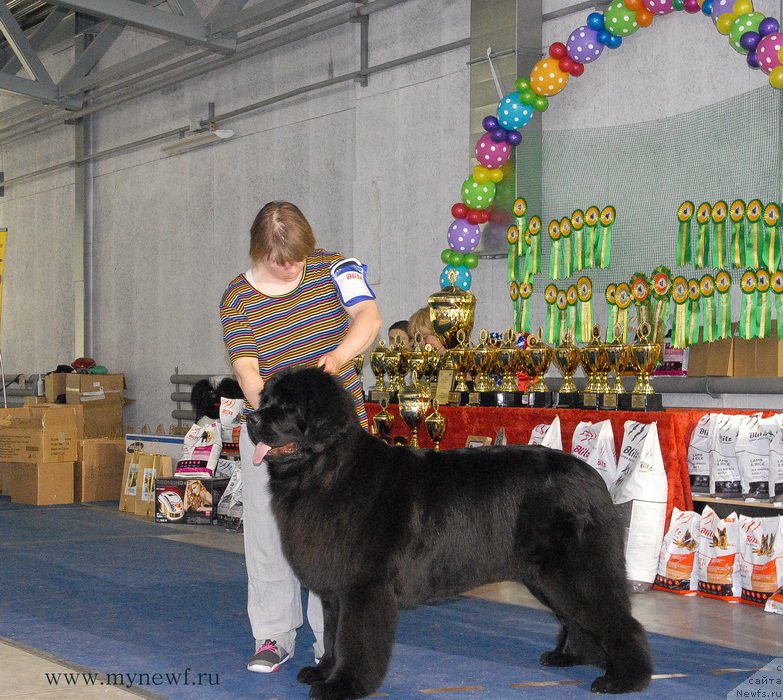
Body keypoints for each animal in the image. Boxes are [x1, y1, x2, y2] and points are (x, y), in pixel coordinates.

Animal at [248, 370, 652, 696]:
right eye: (265, 401)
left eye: (287, 407)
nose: (250, 417)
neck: (325, 472)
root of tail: (593, 478)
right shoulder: (335, 587)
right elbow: (332, 635)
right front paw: (323, 671)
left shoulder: (363, 585)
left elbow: (354, 639)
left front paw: (344, 686)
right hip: (547, 577)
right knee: (575, 617)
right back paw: (568, 658)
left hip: (574, 571)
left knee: (619, 620)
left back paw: (625, 679)